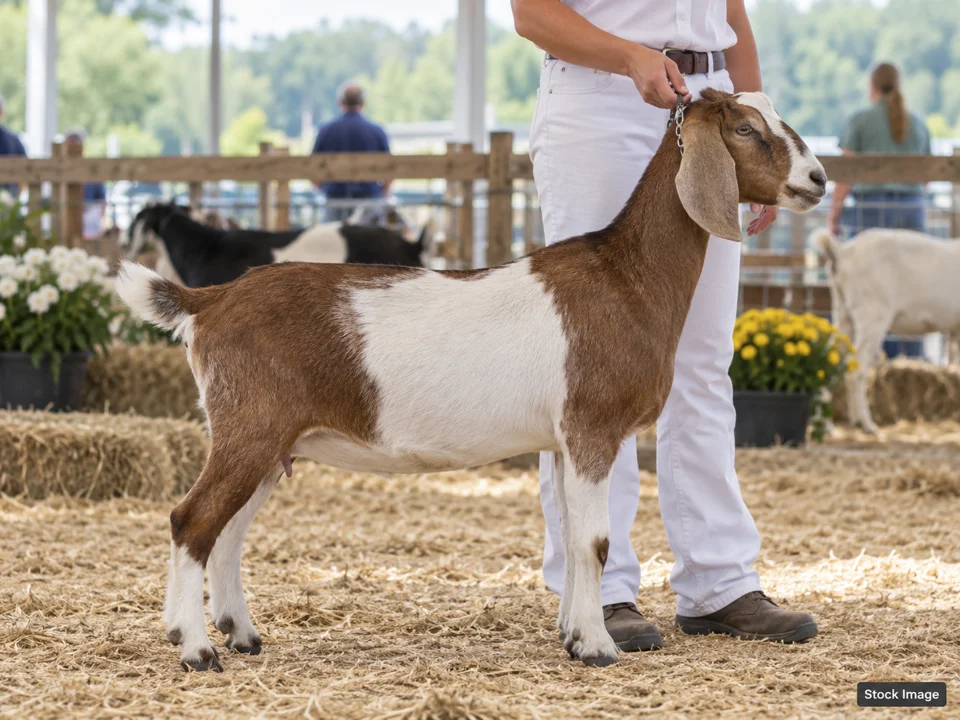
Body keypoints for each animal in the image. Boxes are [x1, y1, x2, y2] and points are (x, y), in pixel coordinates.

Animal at [813, 227, 960, 433]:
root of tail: (843, 252)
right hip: (872, 313)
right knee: (856, 367)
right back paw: (867, 424)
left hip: (843, 313)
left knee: (830, 358)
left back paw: (829, 425)